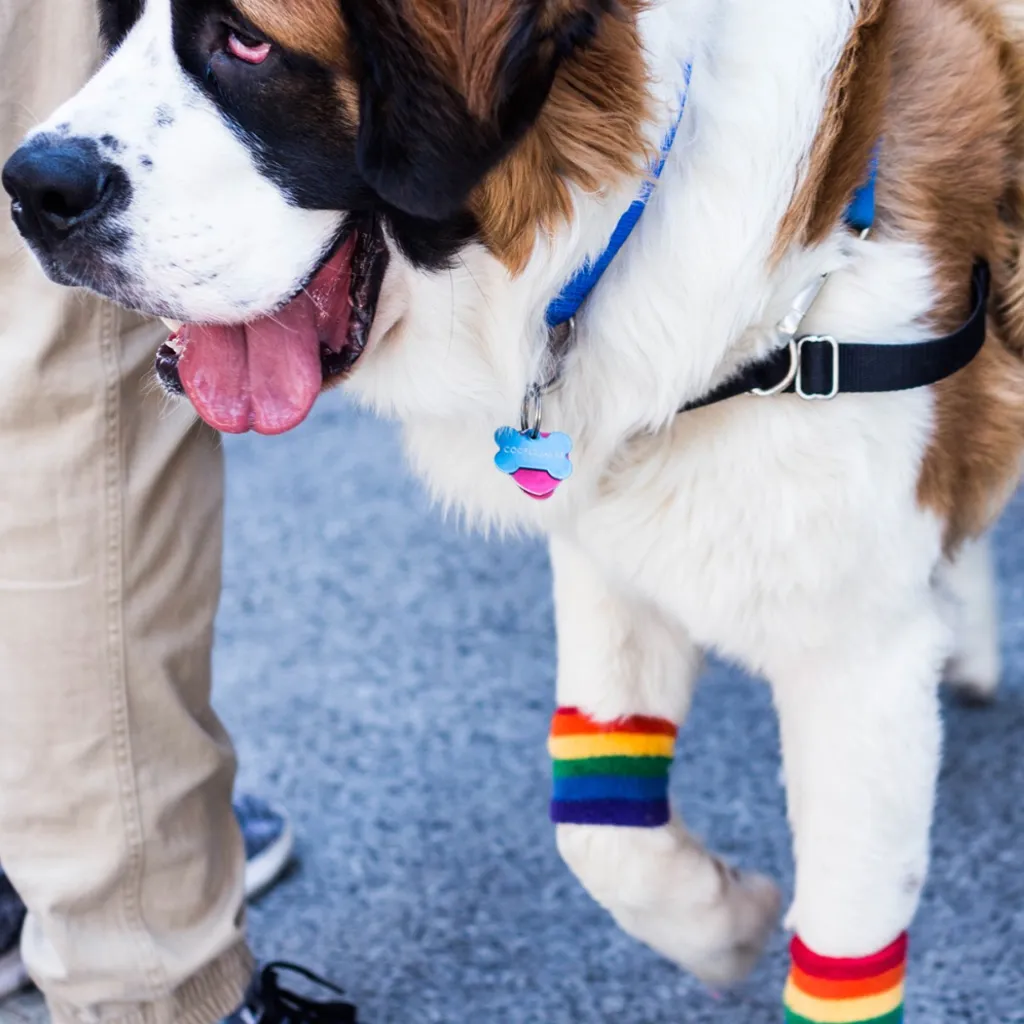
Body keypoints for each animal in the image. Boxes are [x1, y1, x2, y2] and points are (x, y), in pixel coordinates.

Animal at [2, 0, 1024, 1011]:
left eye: (248, 43)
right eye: (117, 26)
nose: (30, 188)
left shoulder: (856, 662)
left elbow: (843, 936)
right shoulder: (616, 549)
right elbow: (602, 833)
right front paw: (726, 923)